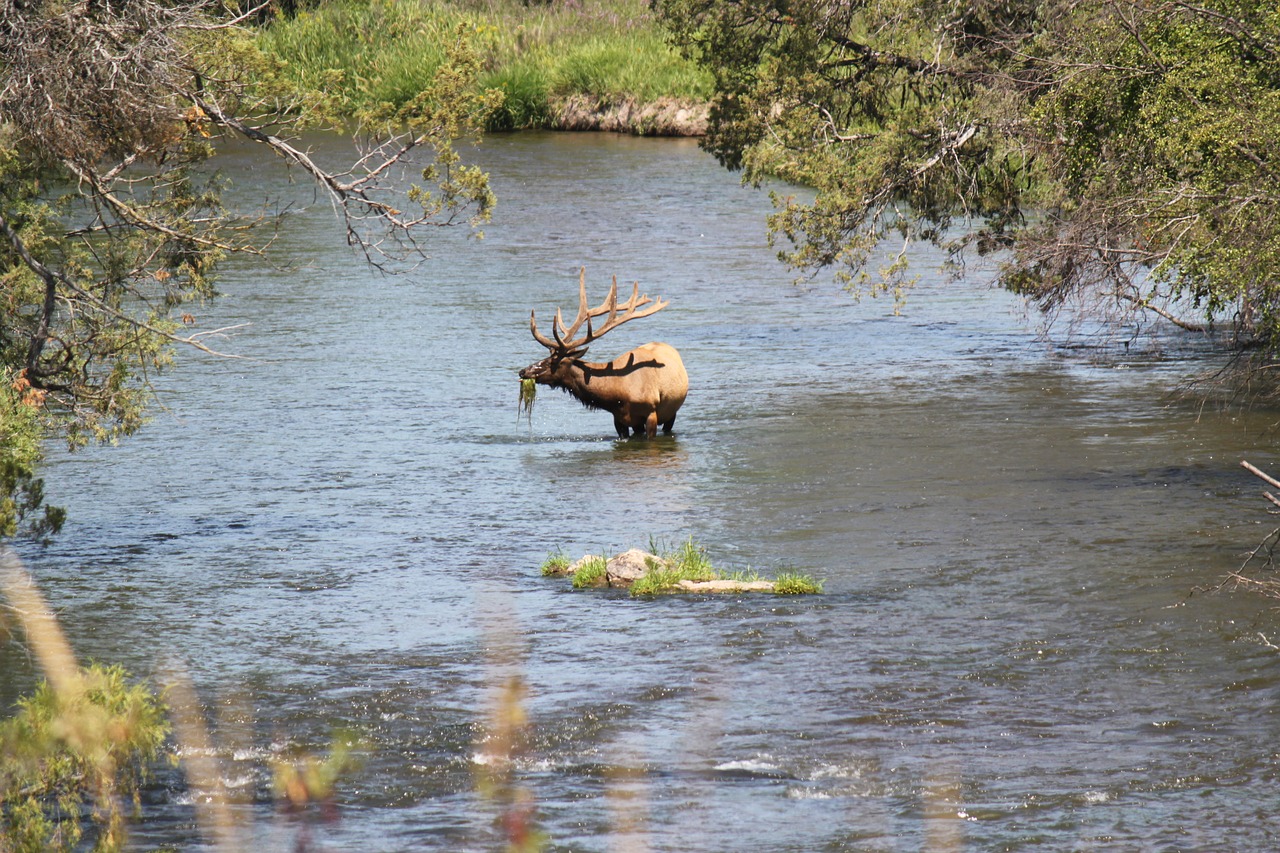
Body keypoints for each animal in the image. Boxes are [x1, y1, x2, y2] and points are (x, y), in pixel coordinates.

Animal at [517, 267, 686, 438]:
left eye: (553, 361)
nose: (523, 371)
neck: (618, 394)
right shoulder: (619, 419)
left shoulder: (651, 412)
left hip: (671, 412)